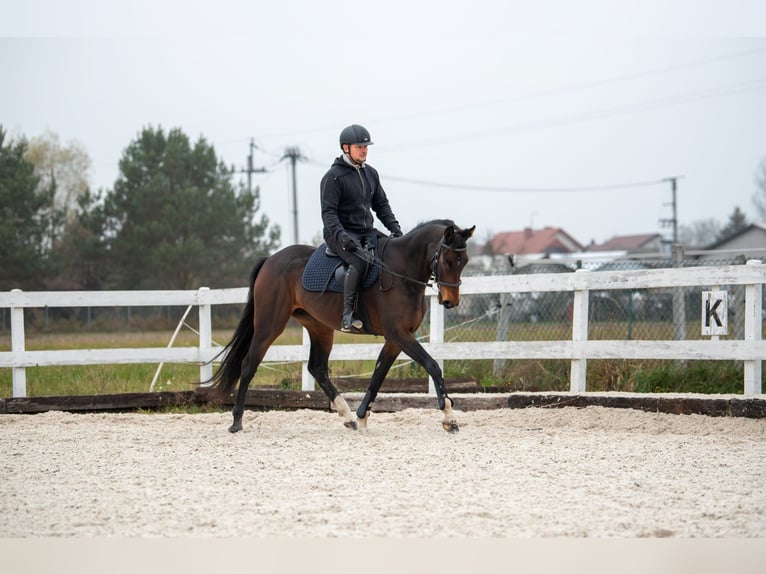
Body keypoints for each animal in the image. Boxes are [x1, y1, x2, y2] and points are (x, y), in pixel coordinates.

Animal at [207, 218, 476, 434]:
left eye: (464, 261)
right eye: (448, 260)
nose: (450, 301)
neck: (401, 272)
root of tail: (270, 260)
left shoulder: (396, 338)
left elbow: (378, 375)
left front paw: (362, 417)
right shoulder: (398, 334)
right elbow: (433, 366)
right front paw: (449, 417)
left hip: (319, 327)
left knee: (317, 368)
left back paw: (347, 416)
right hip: (269, 324)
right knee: (249, 364)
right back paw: (236, 422)